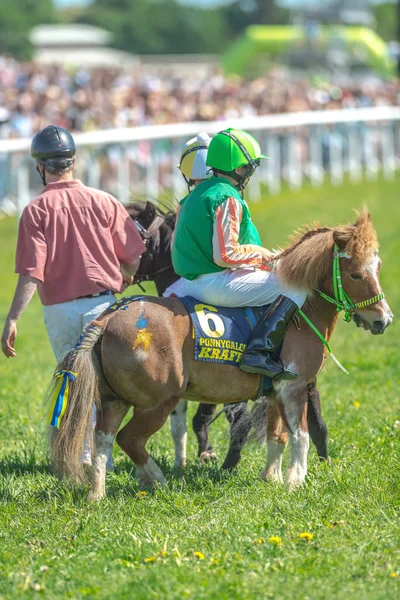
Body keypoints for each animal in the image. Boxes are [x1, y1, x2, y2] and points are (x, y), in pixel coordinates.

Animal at [48, 210, 392, 496]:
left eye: (377, 267)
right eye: (356, 274)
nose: (383, 320)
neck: (300, 310)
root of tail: (109, 318)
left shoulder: (277, 391)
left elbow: (277, 436)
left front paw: (271, 477)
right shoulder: (293, 387)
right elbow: (300, 436)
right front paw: (295, 481)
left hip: (114, 401)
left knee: (102, 440)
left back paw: (98, 494)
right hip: (157, 403)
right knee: (129, 439)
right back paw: (156, 480)